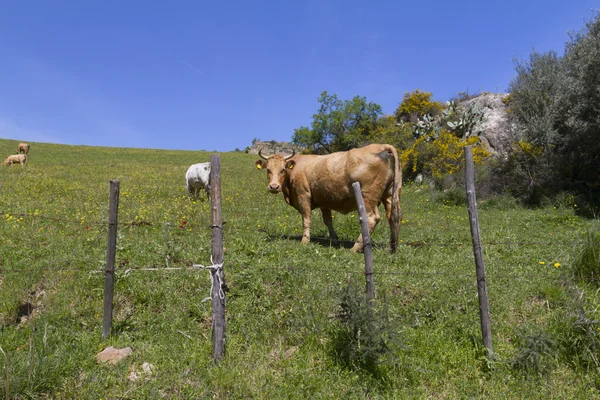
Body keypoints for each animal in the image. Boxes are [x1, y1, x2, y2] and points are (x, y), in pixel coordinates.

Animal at [255, 142, 400, 252]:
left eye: (283, 170)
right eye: (268, 170)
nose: (274, 186)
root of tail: (381, 146)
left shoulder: (303, 196)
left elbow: (306, 220)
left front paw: (305, 240)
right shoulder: (324, 201)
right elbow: (328, 221)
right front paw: (334, 238)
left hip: (368, 197)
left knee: (371, 219)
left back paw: (355, 247)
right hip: (390, 194)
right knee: (392, 217)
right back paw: (393, 248)